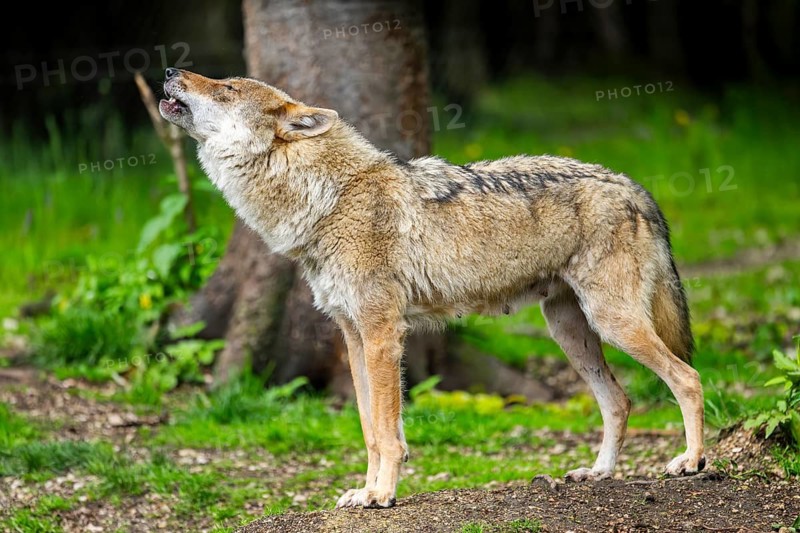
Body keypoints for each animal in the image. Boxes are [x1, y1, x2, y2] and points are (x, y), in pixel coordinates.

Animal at [159, 68, 705, 509]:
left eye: (226, 88)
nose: (168, 70)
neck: (329, 199)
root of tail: (630, 183)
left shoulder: (383, 335)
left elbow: (387, 432)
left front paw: (381, 495)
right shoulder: (354, 339)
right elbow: (369, 430)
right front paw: (366, 491)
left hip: (613, 323)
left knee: (688, 378)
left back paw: (692, 461)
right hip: (571, 332)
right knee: (619, 401)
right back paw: (599, 472)